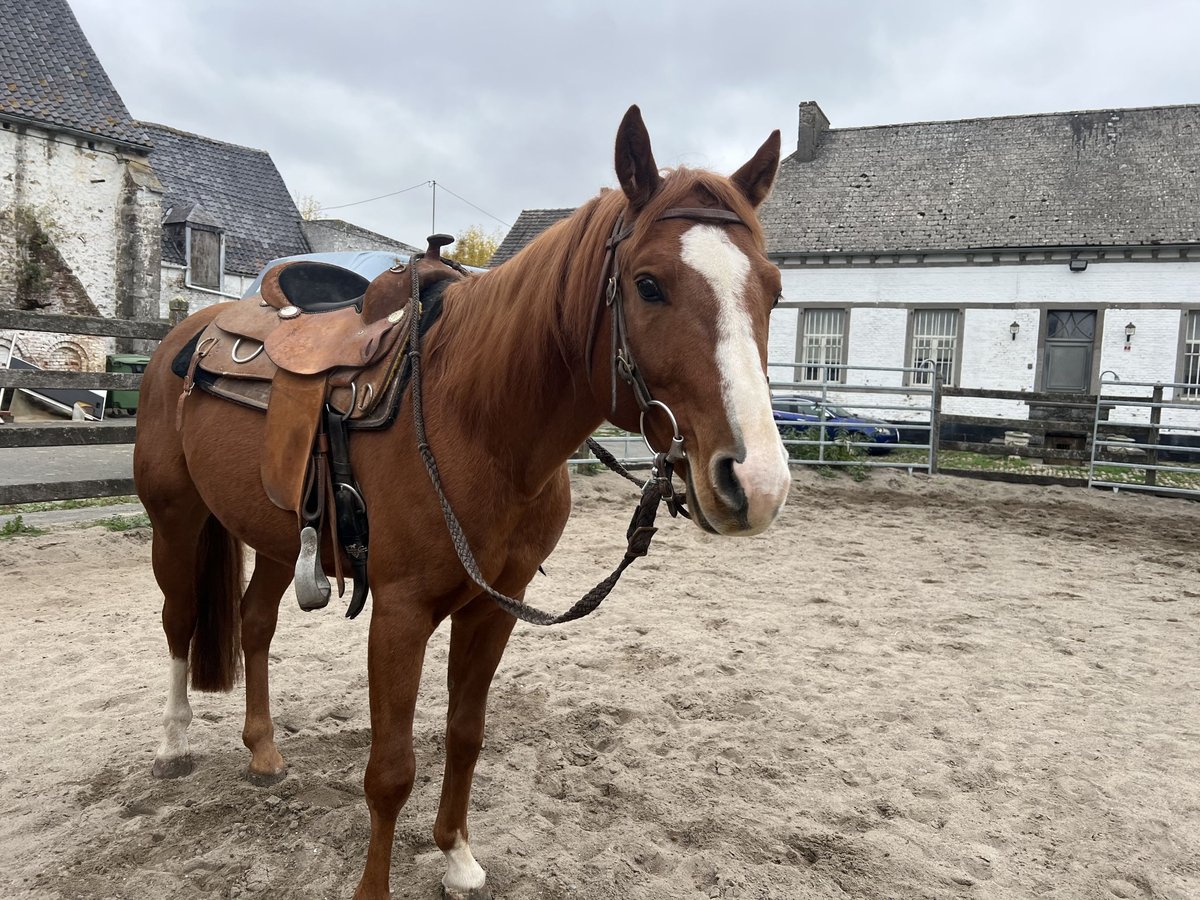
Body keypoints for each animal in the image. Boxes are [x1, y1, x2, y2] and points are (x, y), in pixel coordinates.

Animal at [133, 105, 789, 899]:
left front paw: (456, 855)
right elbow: (389, 770)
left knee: (254, 623)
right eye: (649, 284)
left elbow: (465, 735)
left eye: (773, 289)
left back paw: (262, 753)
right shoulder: (401, 613)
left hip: (278, 536)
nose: (756, 482)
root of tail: (186, 332)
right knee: (177, 621)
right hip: (176, 522)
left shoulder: (495, 605)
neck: (474, 418)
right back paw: (172, 745)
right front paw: (375, 889)